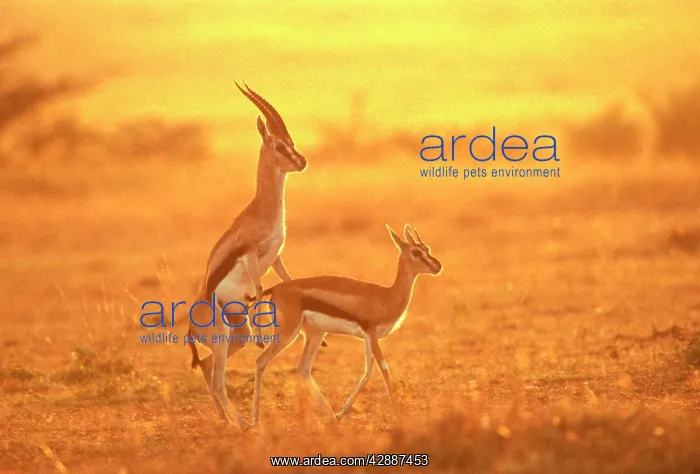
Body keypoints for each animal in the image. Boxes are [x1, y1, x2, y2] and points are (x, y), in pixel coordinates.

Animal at [187, 82, 308, 428]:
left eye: (291, 142)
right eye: (279, 145)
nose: (302, 161)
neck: (262, 210)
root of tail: (190, 328)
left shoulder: (276, 256)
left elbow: (285, 282)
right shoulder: (252, 255)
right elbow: (259, 289)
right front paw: (264, 336)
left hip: (233, 338)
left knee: (208, 367)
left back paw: (225, 420)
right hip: (224, 339)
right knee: (216, 378)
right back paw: (242, 424)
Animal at [251, 224, 442, 425]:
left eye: (427, 248)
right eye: (416, 252)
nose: (438, 266)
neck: (386, 297)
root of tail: (274, 289)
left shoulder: (368, 339)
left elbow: (368, 373)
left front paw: (342, 413)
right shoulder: (372, 335)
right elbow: (383, 369)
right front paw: (399, 416)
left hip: (315, 334)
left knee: (303, 367)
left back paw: (332, 417)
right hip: (287, 334)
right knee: (261, 361)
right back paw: (254, 420)